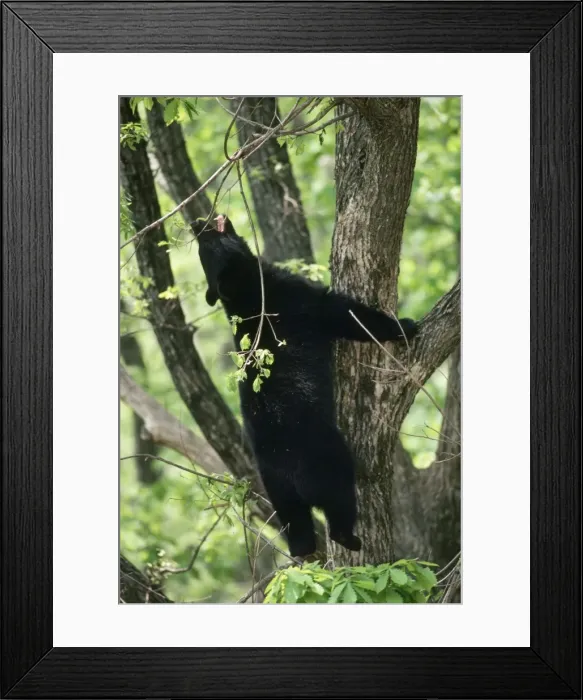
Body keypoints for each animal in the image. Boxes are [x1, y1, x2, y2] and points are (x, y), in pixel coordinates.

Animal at [196, 215, 417, 558]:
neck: (248, 293)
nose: (197, 222)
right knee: (340, 495)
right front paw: (405, 326)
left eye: (201, 244)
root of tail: (289, 470)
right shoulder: (300, 300)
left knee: (296, 524)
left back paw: (302, 548)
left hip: (276, 488)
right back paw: (349, 537)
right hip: (324, 458)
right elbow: (347, 314)